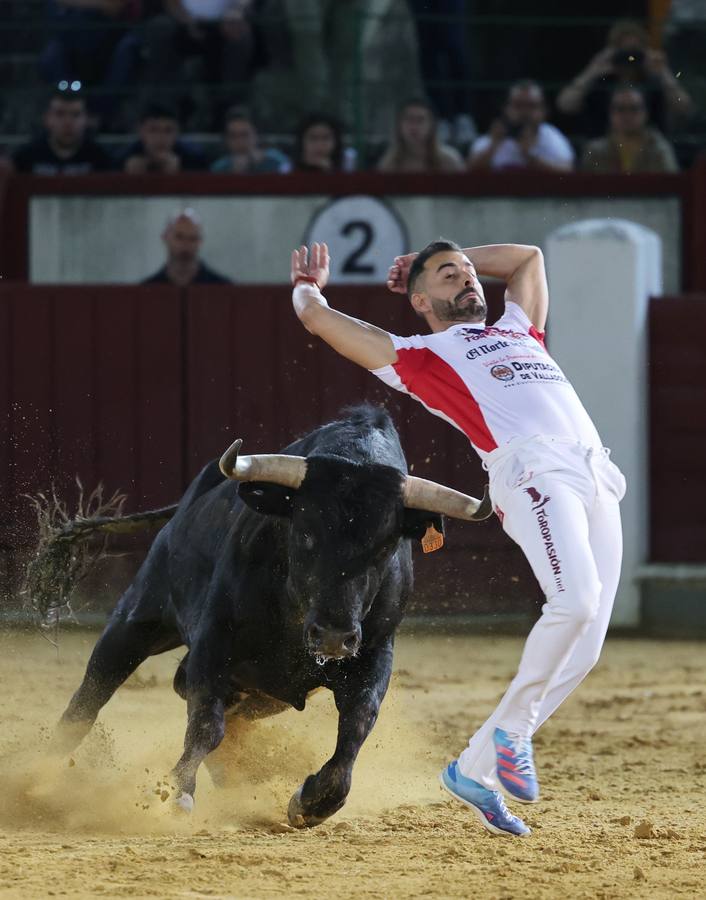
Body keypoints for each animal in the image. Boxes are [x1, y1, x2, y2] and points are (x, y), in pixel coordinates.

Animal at [53, 408, 484, 828]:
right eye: (306, 533)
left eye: (385, 546)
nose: (332, 637)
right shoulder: (215, 640)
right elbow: (206, 722)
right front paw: (176, 794)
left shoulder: (374, 653)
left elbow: (357, 725)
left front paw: (313, 802)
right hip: (139, 618)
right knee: (90, 696)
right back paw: (47, 769)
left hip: (264, 691)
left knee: (195, 692)